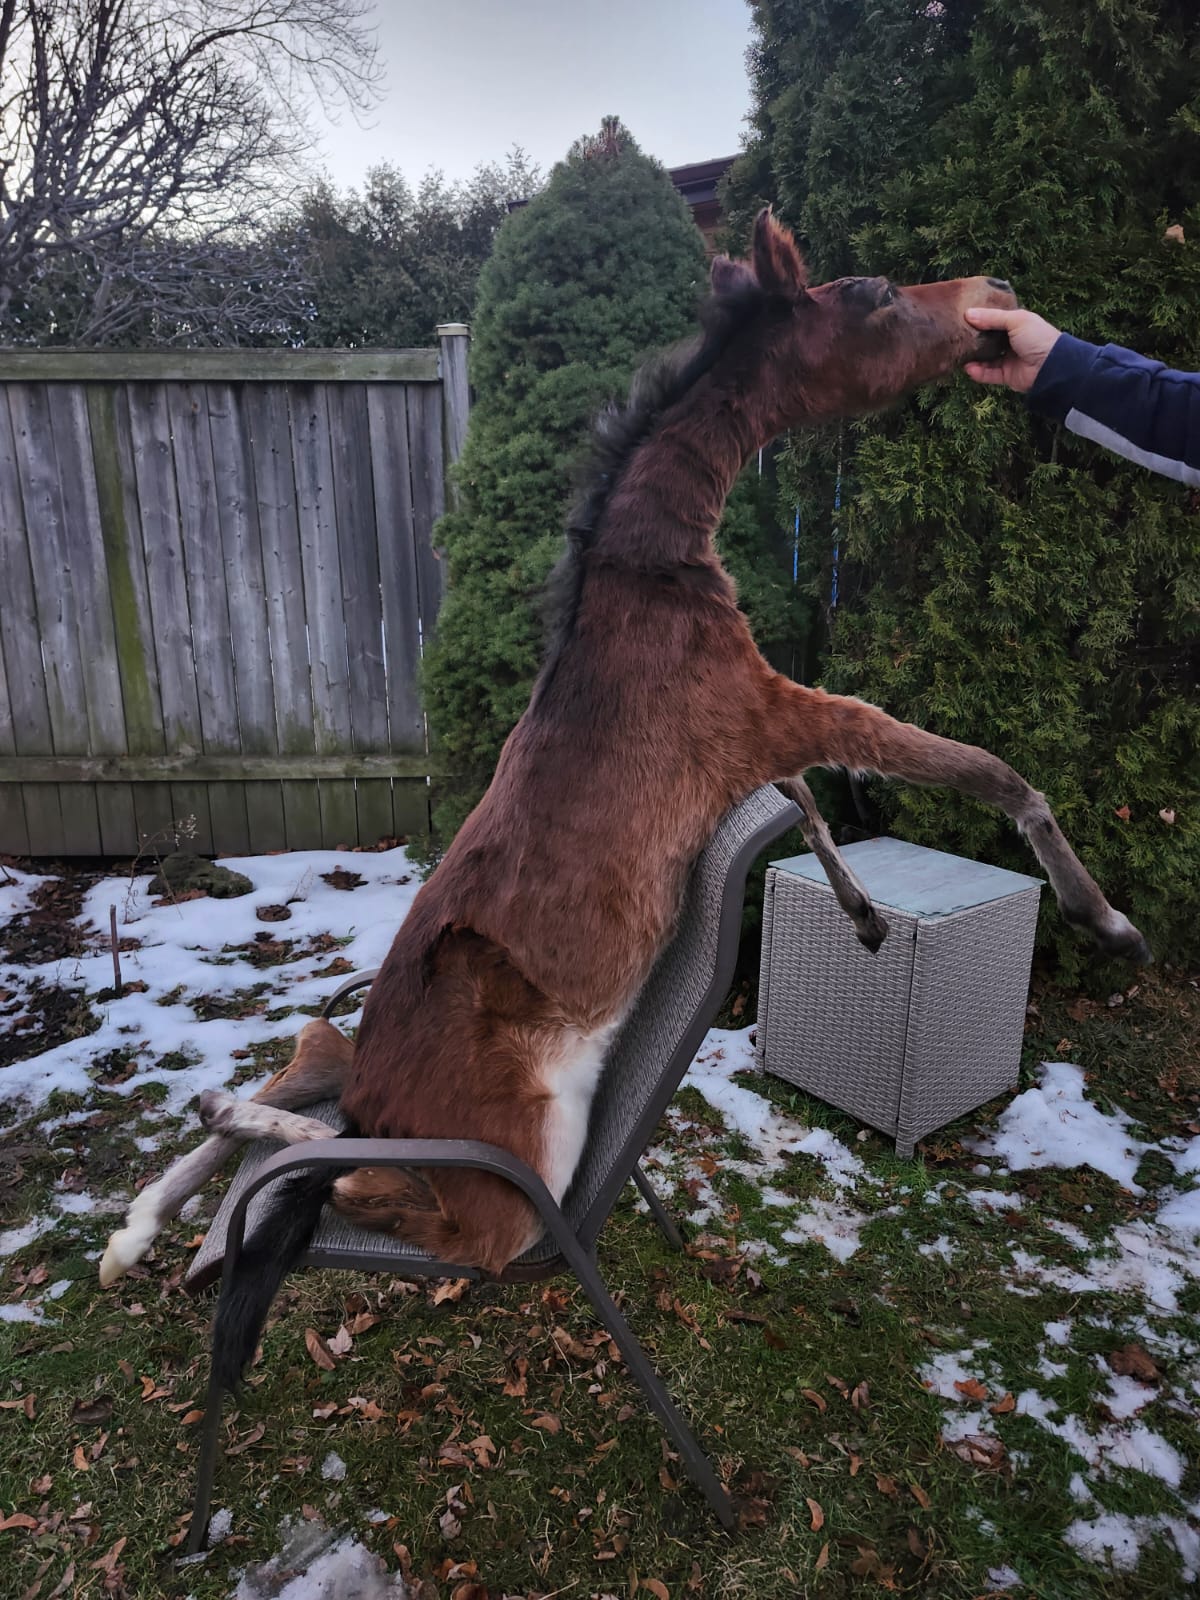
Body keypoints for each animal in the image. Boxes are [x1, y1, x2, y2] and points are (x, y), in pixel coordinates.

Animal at [101, 212, 1148, 1389]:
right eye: (874, 292)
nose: (999, 292)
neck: (651, 575)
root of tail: (380, 1092)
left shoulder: (751, 737)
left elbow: (811, 803)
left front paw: (870, 918)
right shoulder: (777, 709)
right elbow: (981, 771)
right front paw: (1107, 921)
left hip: (371, 1077)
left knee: (315, 1075)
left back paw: (146, 1221)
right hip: (522, 1167)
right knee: (376, 1181)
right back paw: (201, 1152)